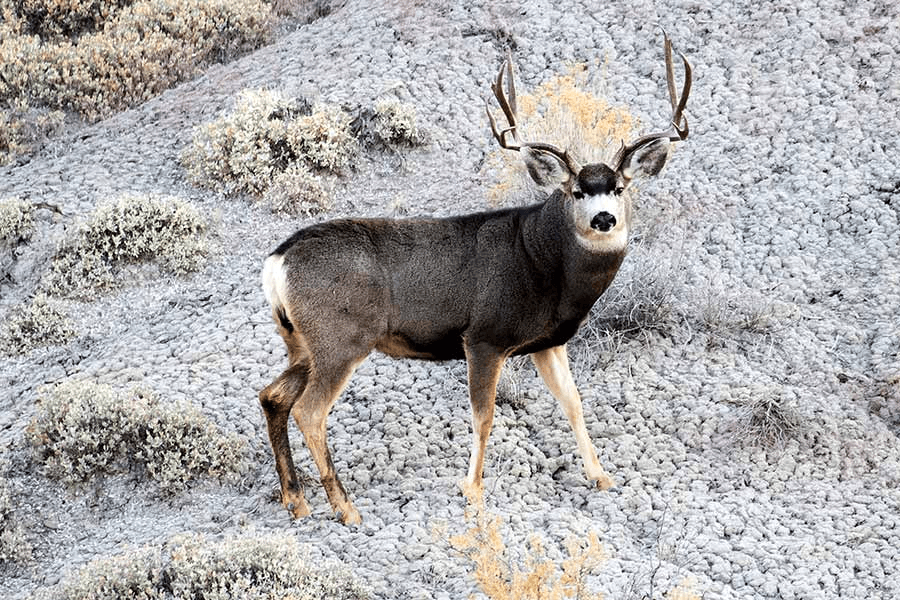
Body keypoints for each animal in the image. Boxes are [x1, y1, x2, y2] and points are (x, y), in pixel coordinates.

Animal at [259, 32, 692, 524]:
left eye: (619, 188)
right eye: (576, 191)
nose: (604, 219)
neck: (544, 262)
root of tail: (277, 260)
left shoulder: (548, 342)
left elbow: (573, 401)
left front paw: (601, 476)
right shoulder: (485, 335)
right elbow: (483, 415)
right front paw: (474, 491)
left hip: (301, 341)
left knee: (273, 396)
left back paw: (297, 501)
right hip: (341, 336)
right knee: (309, 411)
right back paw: (346, 509)